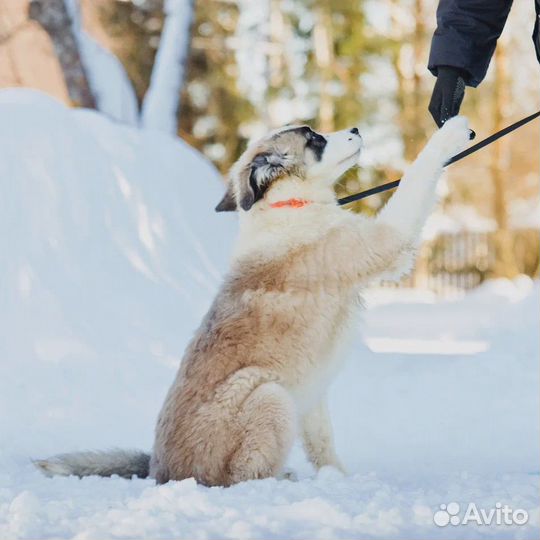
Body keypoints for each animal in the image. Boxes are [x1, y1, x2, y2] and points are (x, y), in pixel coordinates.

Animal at [34, 115, 472, 486]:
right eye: (314, 138)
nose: (356, 129)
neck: (288, 204)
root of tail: (161, 472)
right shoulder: (387, 240)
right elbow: (417, 175)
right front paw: (449, 134)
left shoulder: (314, 395)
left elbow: (322, 442)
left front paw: (339, 478)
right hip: (268, 395)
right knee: (244, 476)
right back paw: (281, 481)